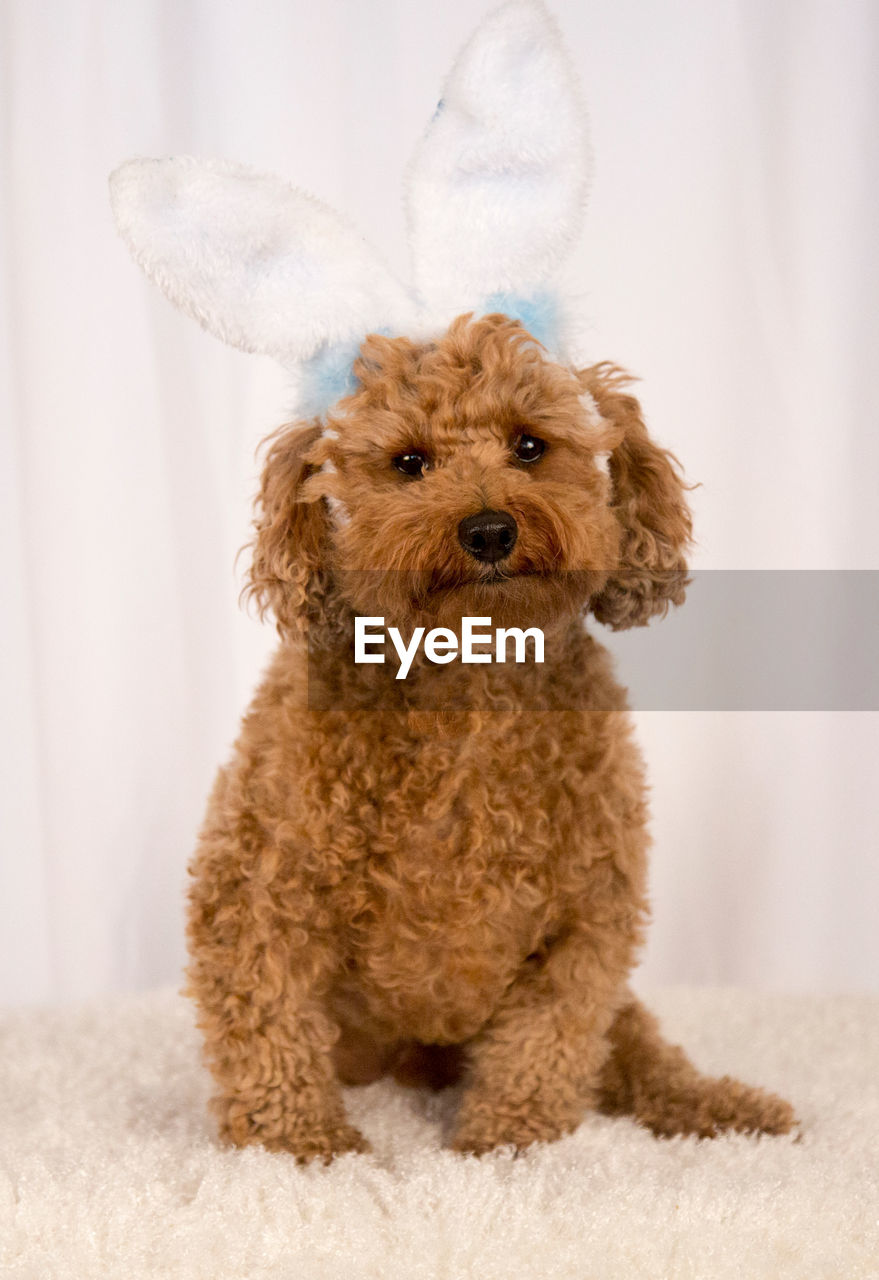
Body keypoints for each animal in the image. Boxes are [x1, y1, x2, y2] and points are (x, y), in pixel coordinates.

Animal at [185, 309, 798, 1162]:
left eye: (530, 446)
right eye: (409, 462)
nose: (487, 530)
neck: (471, 678)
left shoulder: (587, 916)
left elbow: (547, 1039)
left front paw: (504, 1144)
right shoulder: (253, 891)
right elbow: (267, 1023)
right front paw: (303, 1146)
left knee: (641, 1053)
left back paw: (726, 1108)